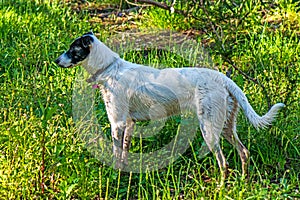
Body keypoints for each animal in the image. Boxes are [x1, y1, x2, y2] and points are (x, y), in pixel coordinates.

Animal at [55, 32, 284, 177]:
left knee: (223, 163)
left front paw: (114, 175)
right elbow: (125, 152)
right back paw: (242, 183)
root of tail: (223, 79)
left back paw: (221, 188)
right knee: (244, 152)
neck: (110, 68)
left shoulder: (117, 123)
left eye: (72, 50)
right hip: (226, 126)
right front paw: (124, 172)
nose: (56, 61)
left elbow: (115, 152)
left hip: (209, 130)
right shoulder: (129, 124)